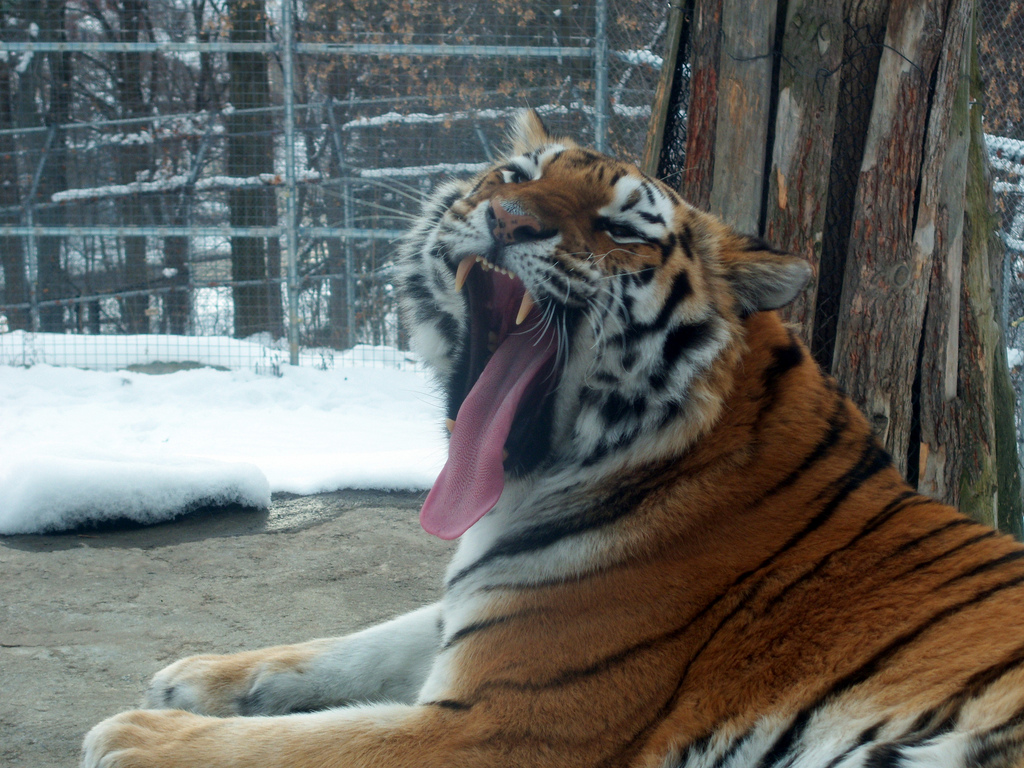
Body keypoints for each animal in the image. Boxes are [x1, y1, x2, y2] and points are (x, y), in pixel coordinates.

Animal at [83, 110, 1024, 768]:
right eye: (515, 174)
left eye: (621, 227)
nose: (506, 218)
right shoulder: (480, 614)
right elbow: (351, 644)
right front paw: (196, 677)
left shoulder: (504, 721)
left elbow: (312, 744)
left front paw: (136, 735)